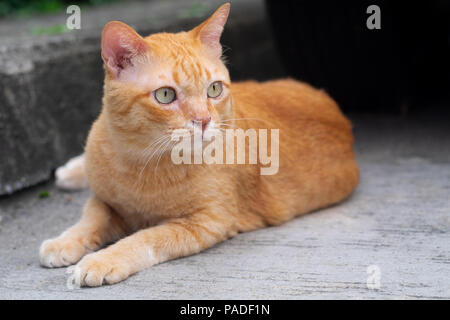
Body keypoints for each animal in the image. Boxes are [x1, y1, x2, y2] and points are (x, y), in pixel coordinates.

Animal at [40, 3, 360, 286]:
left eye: (214, 89)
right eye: (166, 95)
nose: (204, 120)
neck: (140, 160)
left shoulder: (207, 222)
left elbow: (146, 238)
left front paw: (103, 259)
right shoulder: (103, 200)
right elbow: (88, 220)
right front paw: (63, 242)